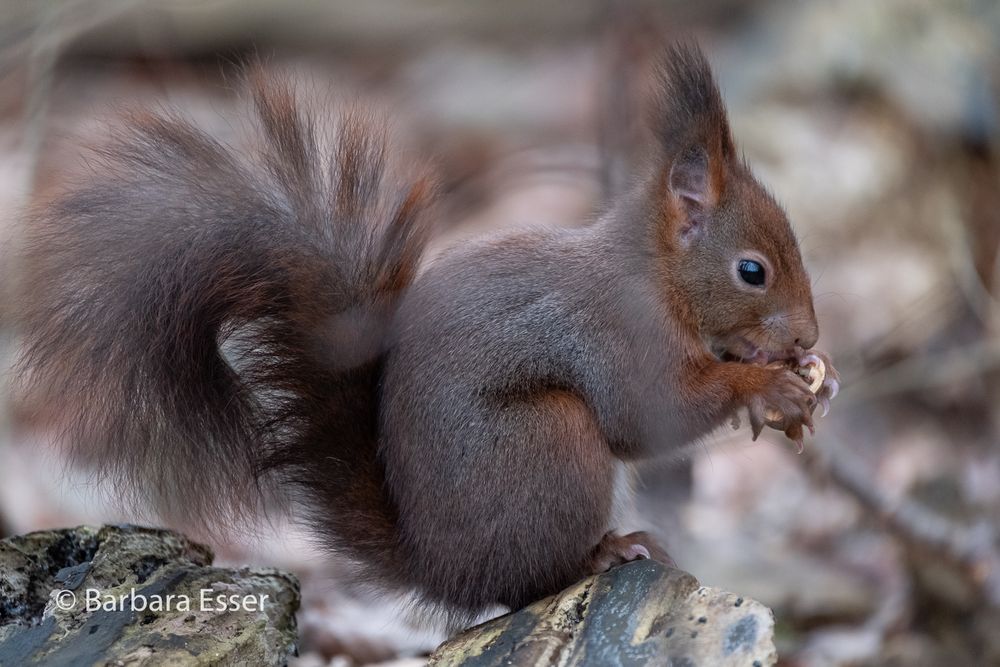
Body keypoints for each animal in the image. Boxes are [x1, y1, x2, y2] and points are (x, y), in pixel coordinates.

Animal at [19, 44, 840, 624]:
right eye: (752, 270)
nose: (806, 337)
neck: (659, 276)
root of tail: (441, 569)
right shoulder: (615, 334)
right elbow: (652, 414)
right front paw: (768, 384)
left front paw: (808, 382)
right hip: (551, 444)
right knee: (532, 580)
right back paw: (606, 551)